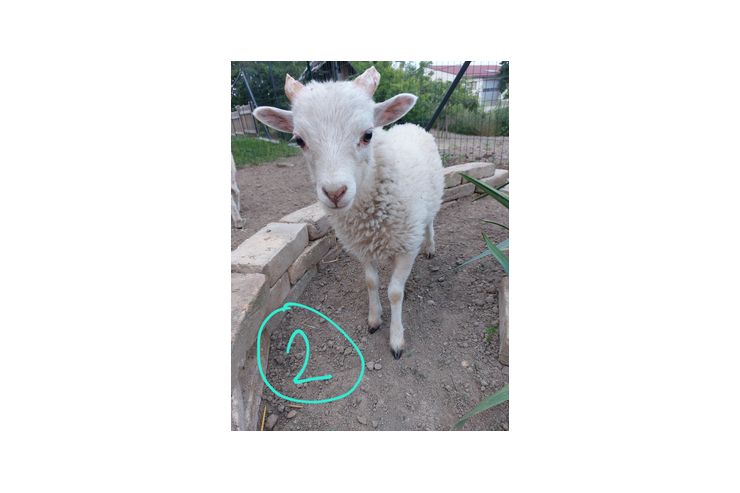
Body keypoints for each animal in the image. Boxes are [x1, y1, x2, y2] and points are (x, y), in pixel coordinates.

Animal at [253, 66, 444, 359]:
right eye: (299, 140)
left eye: (368, 134)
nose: (334, 192)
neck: (369, 216)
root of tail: (410, 124)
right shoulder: (362, 246)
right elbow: (371, 282)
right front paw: (374, 319)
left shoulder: (406, 245)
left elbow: (395, 293)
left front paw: (396, 339)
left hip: (430, 204)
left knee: (430, 222)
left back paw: (430, 246)